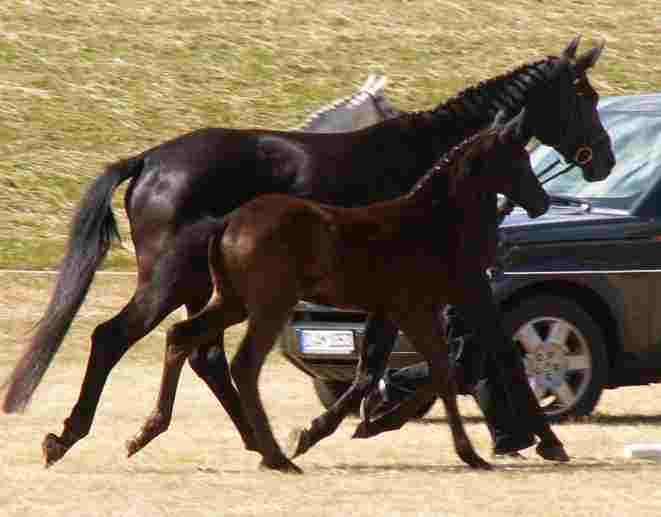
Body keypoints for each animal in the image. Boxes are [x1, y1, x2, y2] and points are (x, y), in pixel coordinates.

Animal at [3, 36, 612, 468]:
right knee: (117, 338)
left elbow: (387, 363)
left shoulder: (409, 293)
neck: (440, 168)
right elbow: (484, 353)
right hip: (173, 281)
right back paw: (68, 436)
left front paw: (352, 423)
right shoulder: (445, 287)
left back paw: (257, 442)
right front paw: (548, 440)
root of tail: (150, 159)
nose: (603, 159)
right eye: (586, 97)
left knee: (202, 354)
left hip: (207, 289)